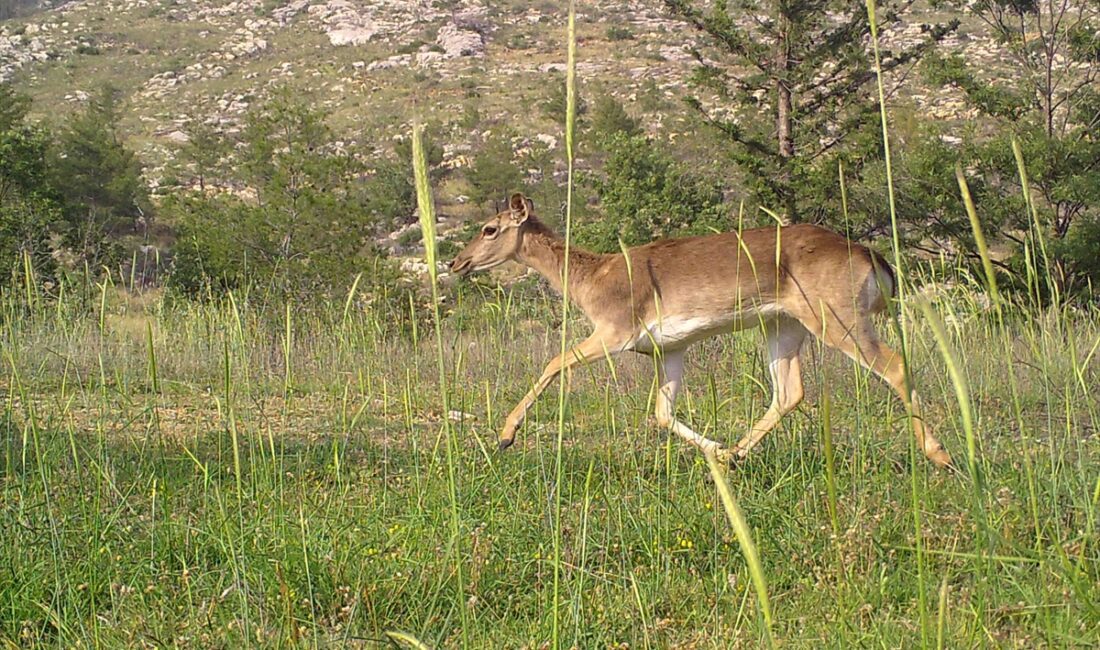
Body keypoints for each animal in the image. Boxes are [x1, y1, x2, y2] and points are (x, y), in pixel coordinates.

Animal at [446, 190, 954, 470]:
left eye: (490, 228)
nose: (456, 262)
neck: (590, 281)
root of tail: (876, 261)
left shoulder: (616, 329)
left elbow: (554, 361)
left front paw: (505, 435)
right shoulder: (669, 349)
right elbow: (661, 413)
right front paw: (715, 448)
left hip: (838, 316)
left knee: (894, 365)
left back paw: (941, 455)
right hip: (784, 325)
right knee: (790, 391)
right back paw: (735, 454)